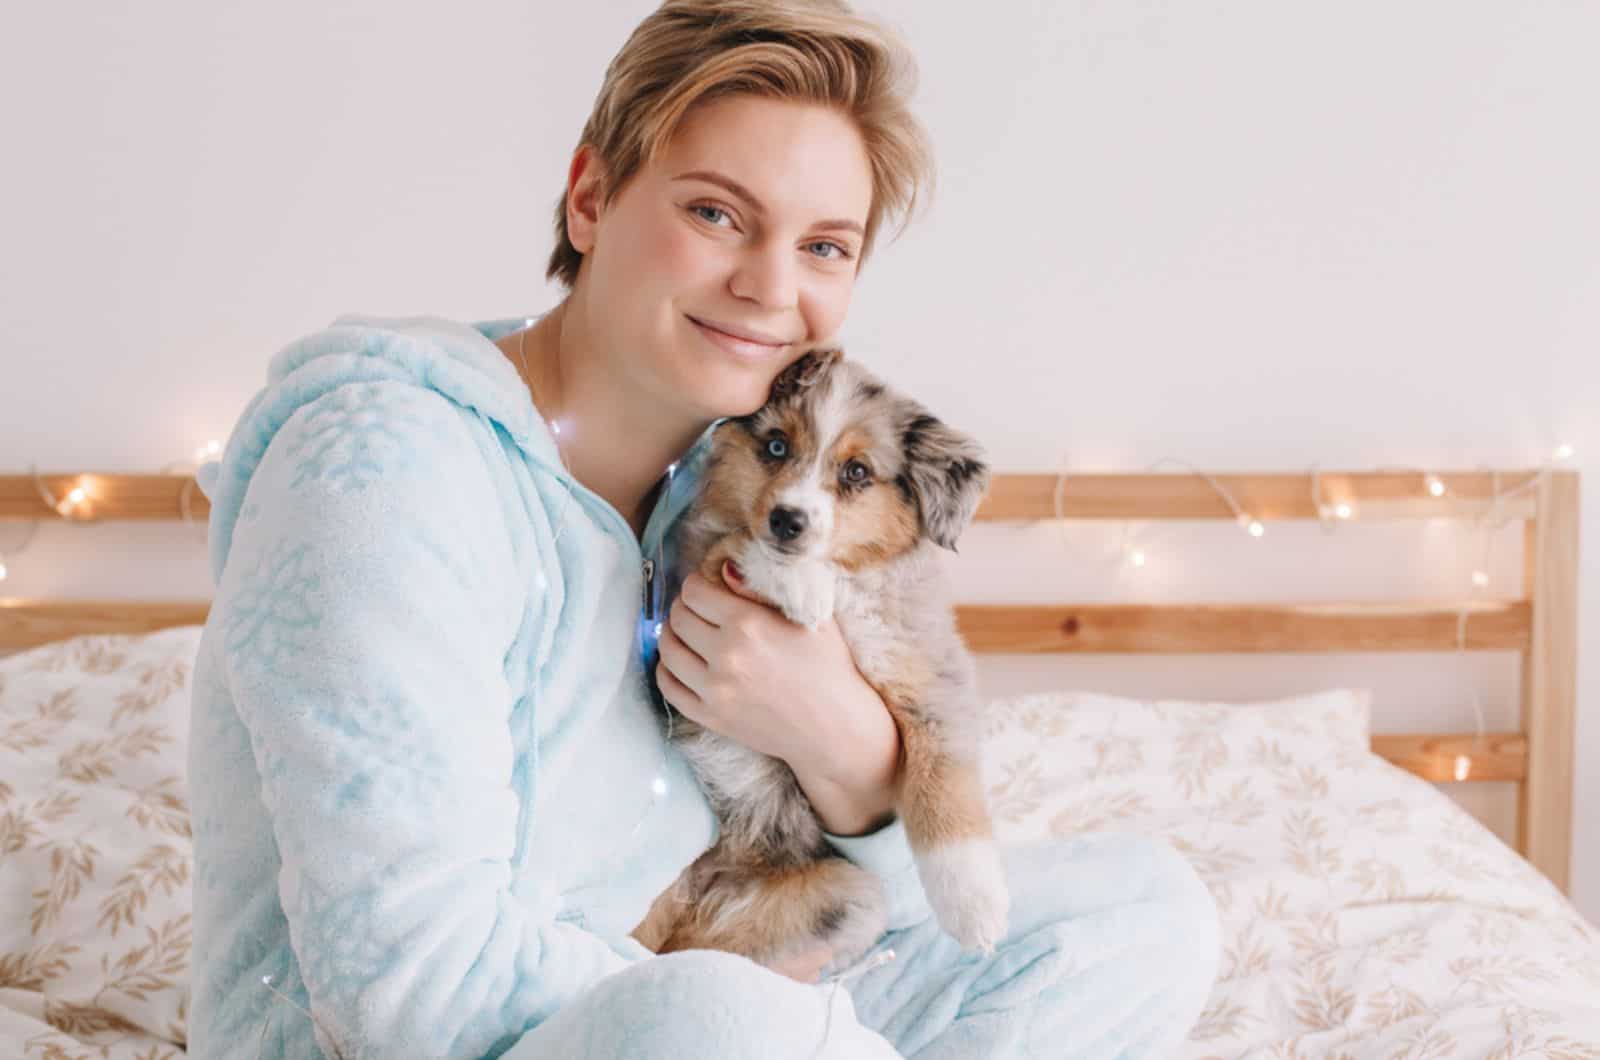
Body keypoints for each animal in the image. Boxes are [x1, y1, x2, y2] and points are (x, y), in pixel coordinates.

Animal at [630, 349, 1004, 979]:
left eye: (856, 472)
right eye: (777, 446)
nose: (787, 521)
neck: (847, 585)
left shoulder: (931, 679)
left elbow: (944, 790)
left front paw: (975, 908)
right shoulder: (693, 577)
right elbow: (733, 545)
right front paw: (801, 587)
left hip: (851, 895)